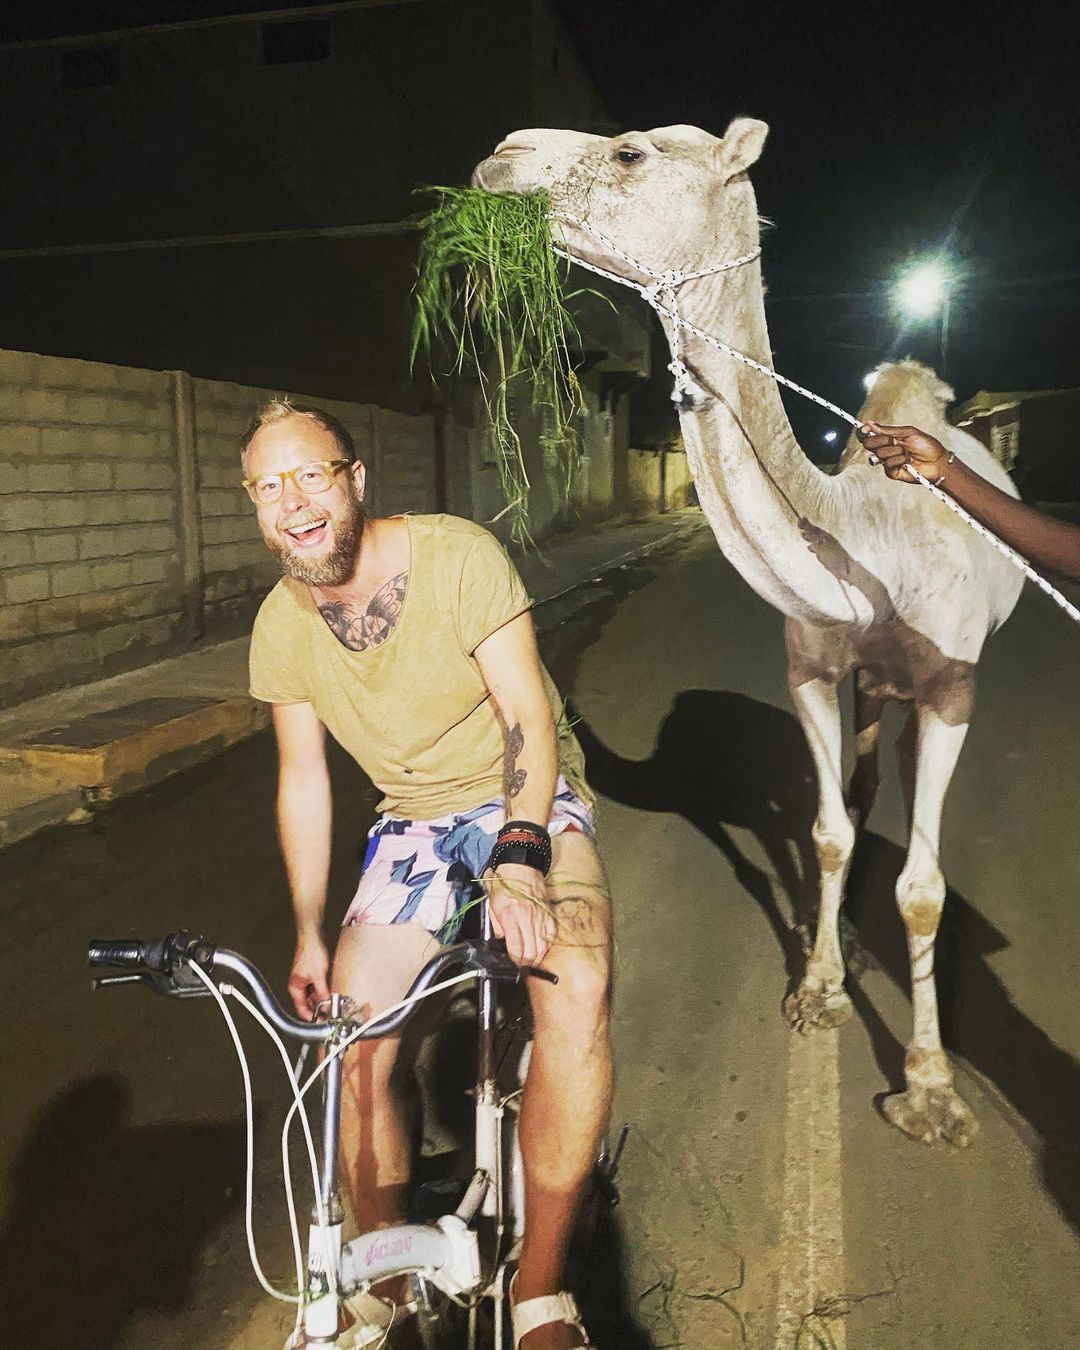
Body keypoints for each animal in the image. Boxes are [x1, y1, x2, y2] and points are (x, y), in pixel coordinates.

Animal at [473, 121, 1023, 1145]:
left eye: (632, 153)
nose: (502, 154)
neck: (865, 539)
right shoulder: (809, 660)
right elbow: (830, 831)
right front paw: (819, 986)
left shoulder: (953, 683)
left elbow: (925, 888)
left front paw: (931, 1089)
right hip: (866, 684)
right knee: (861, 779)